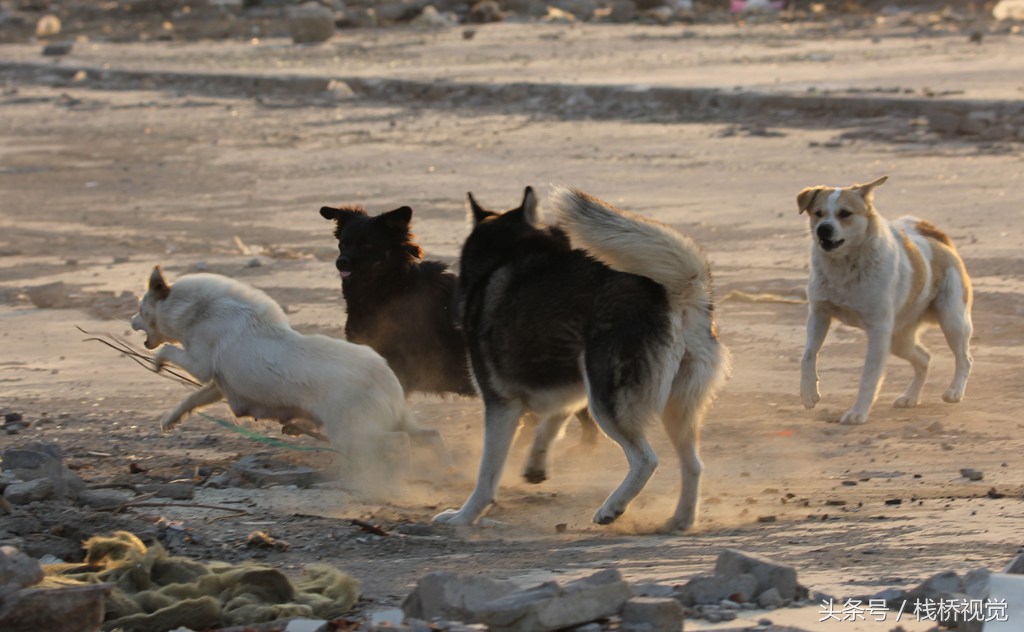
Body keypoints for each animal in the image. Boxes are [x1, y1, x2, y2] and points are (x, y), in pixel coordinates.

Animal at [130, 266, 430, 452]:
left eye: (141, 310)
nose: (131, 322)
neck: (198, 309)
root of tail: (389, 382)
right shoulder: (220, 384)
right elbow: (191, 399)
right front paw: (170, 419)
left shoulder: (199, 364)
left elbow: (166, 351)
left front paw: (156, 363)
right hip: (386, 422)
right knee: (427, 435)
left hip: (355, 433)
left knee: (398, 440)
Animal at [794, 176, 970, 424]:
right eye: (818, 213)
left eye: (845, 213)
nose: (823, 229)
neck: (844, 267)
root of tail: (939, 239)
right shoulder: (819, 314)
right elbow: (808, 355)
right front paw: (809, 393)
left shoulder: (878, 330)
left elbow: (869, 376)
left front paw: (858, 412)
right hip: (898, 339)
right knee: (924, 358)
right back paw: (910, 397)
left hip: (952, 321)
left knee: (964, 358)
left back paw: (955, 391)